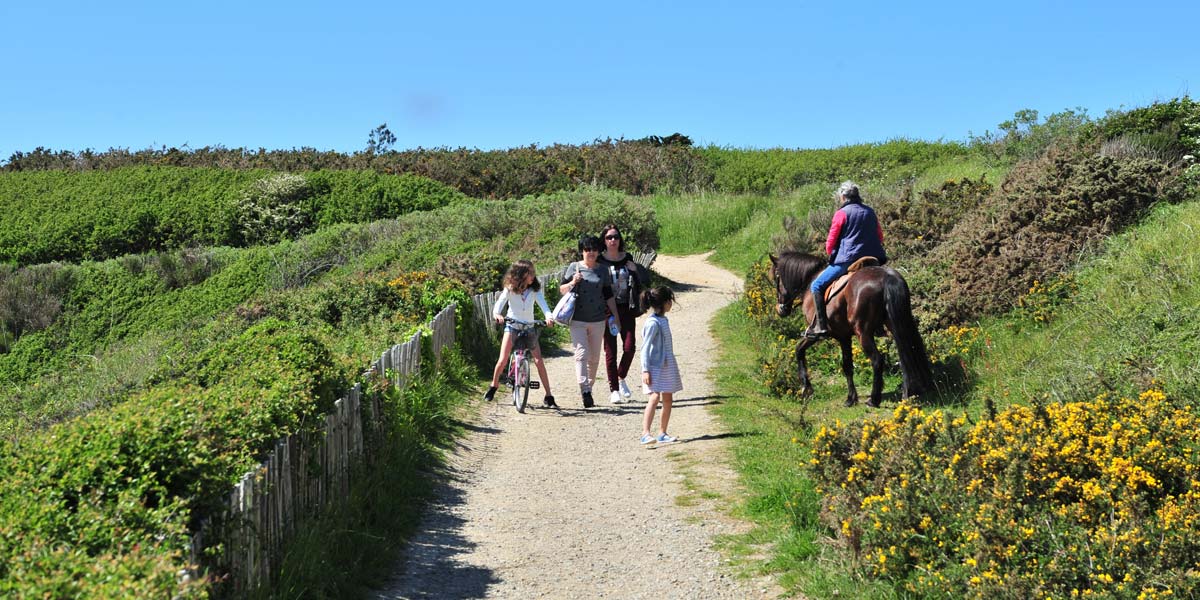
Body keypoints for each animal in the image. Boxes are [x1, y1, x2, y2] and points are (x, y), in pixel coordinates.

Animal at [772, 250, 931, 405]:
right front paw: (851, 397)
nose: (780, 309)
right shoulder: (844, 336)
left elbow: (799, 350)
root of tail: (886, 277)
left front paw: (806, 388)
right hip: (896, 325)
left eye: (776, 278)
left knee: (877, 360)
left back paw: (874, 399)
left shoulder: (819, 334)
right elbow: (847, 365)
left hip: (863, 333)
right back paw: (908, 393)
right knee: (905, 355)